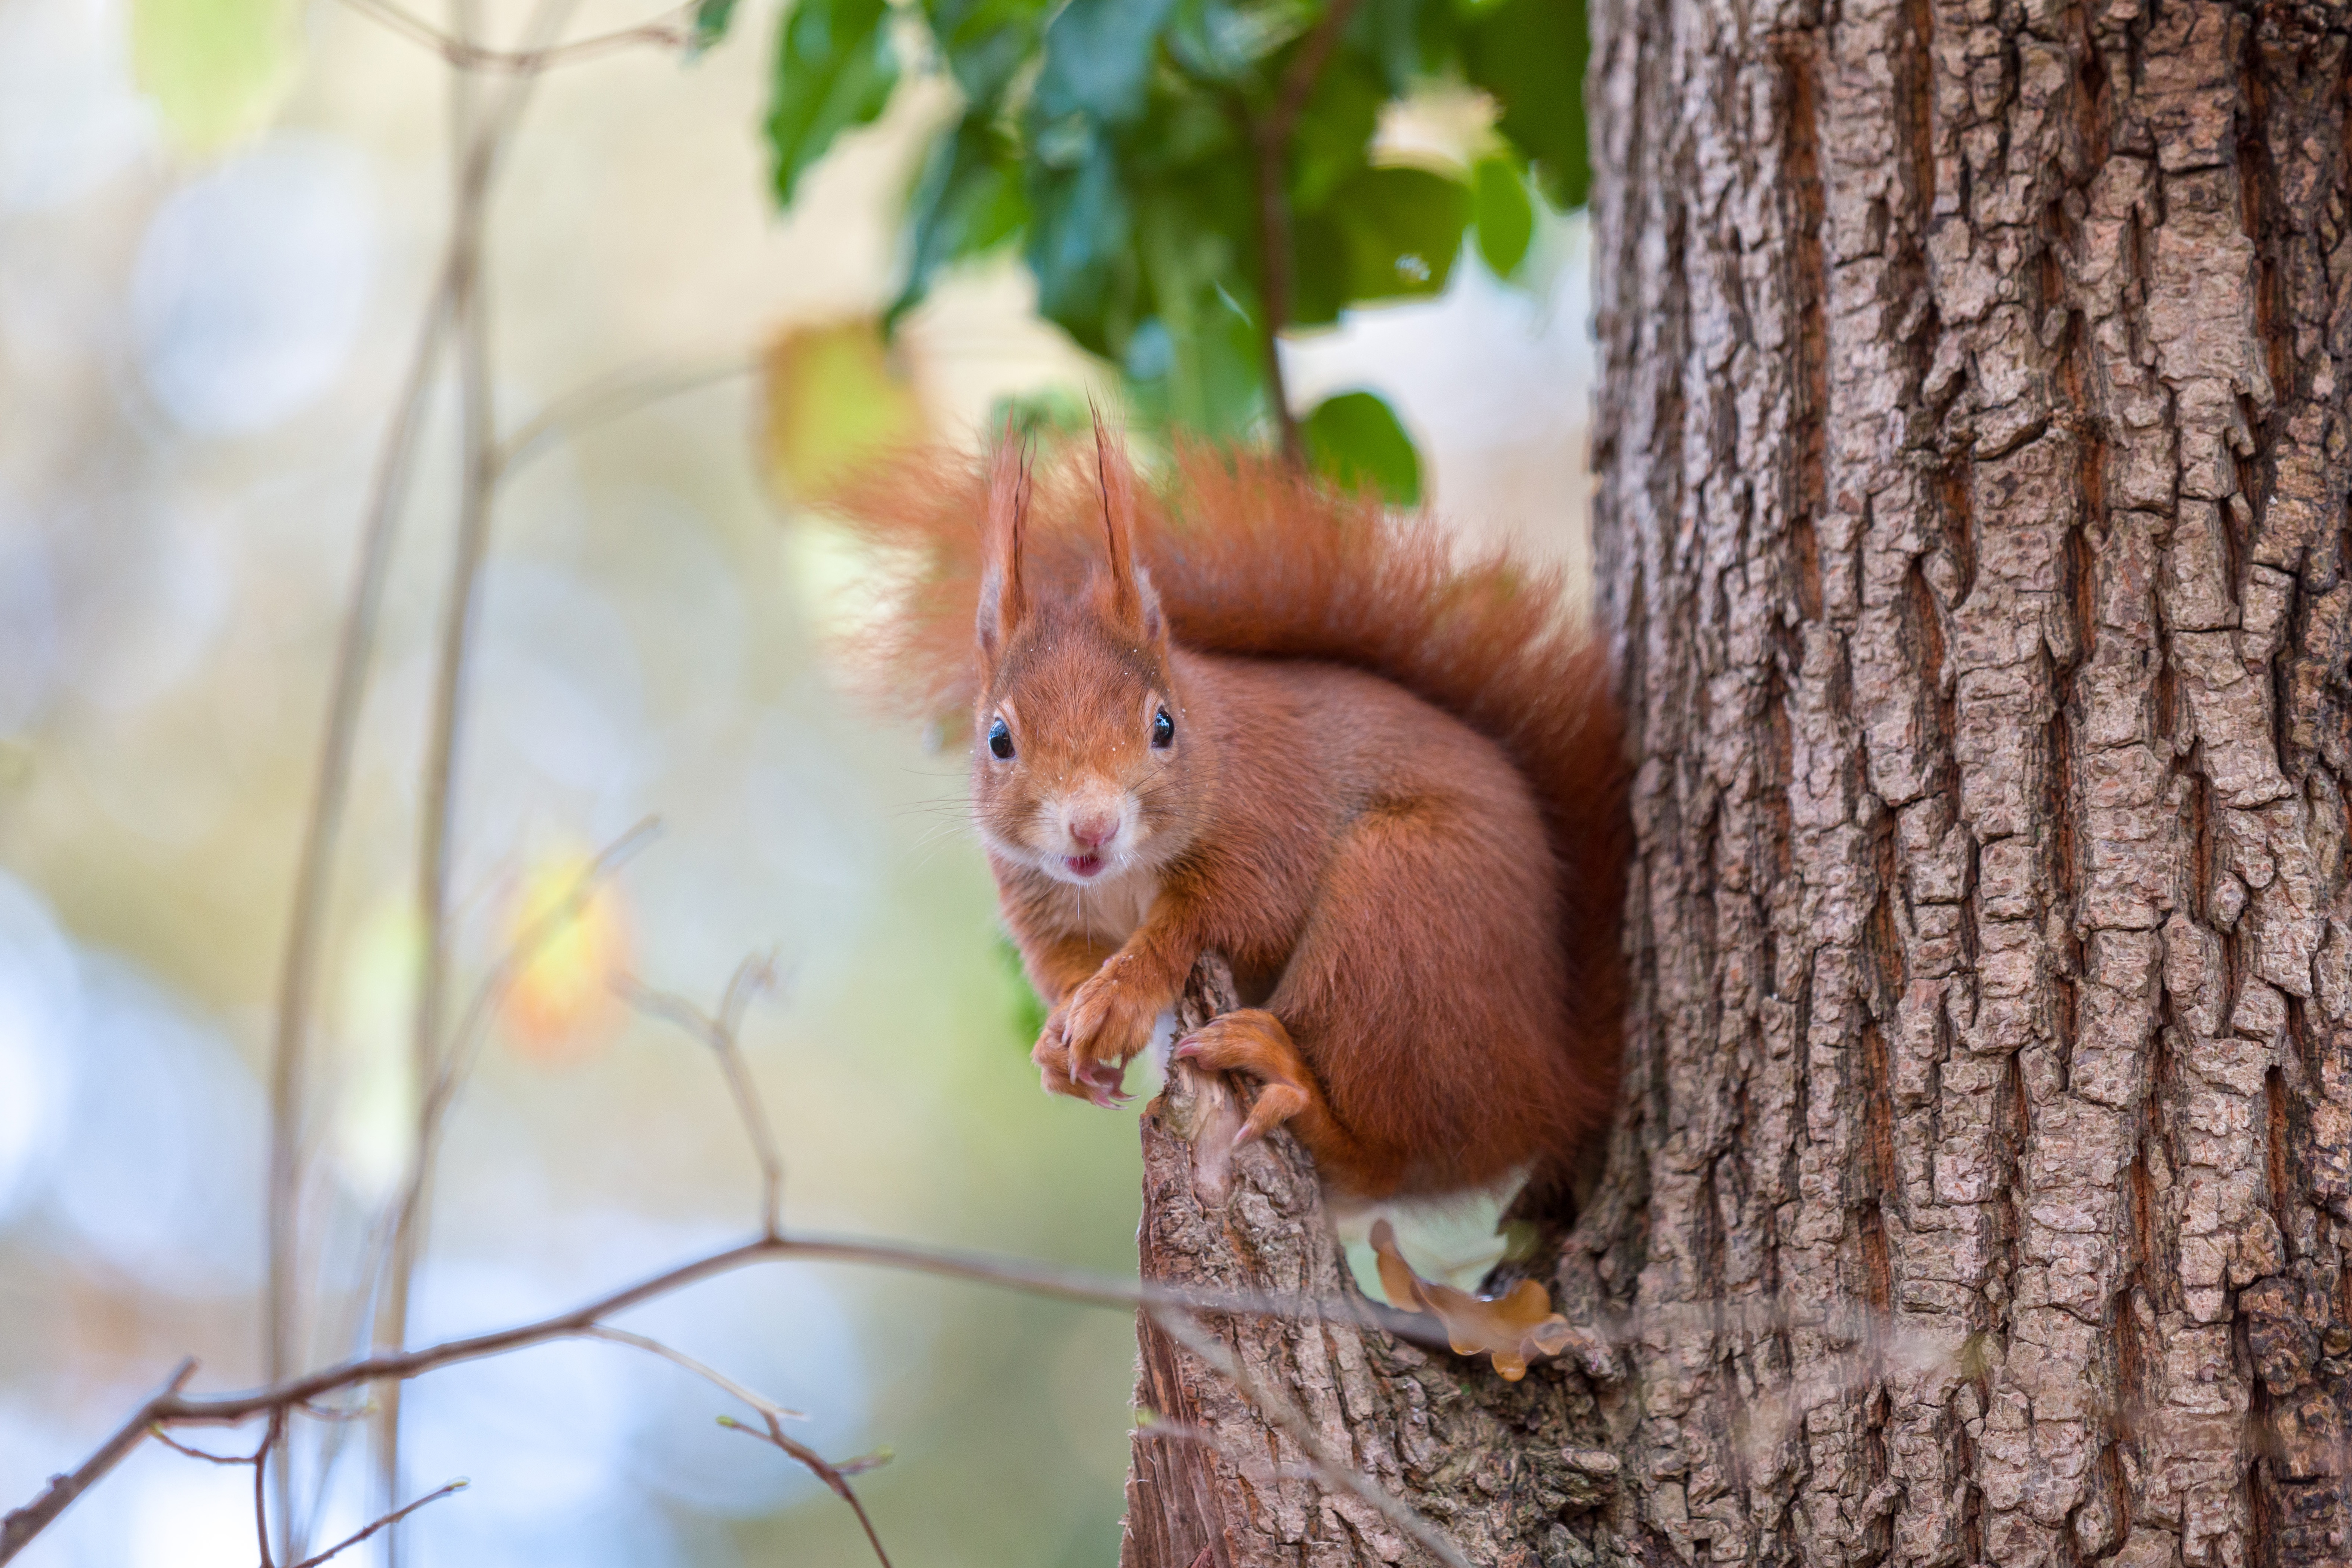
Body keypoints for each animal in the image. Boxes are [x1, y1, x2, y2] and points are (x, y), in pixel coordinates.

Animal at [837, 430, 1627, 1203]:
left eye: (1163, 726)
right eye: (998, 739)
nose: (1091, 826)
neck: (1122, 874)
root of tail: (1554, 1080)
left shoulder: (1268, 825)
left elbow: (1217, 917)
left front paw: (1120, 995)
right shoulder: (1044, 902)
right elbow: (1063, 965)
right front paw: (1060, 1037)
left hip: (1399, 921)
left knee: (1383, 1151)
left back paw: (1292, 1082)